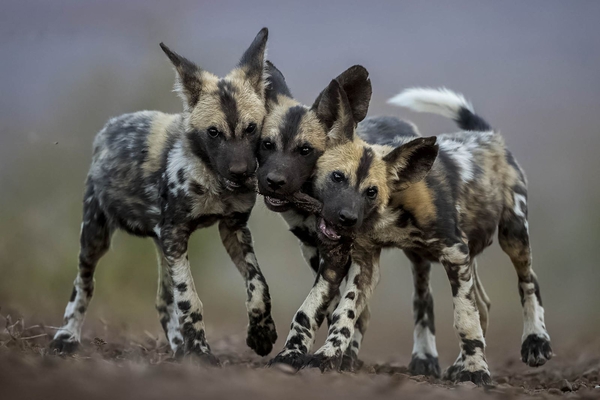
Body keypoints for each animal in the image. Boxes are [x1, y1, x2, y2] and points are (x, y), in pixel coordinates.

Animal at [49, 27, 278, 360]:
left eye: (251, 128)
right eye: (213, 133)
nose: (241, 172)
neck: (214, 182)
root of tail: (108, 128)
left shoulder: (232, 228)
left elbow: (259, 284)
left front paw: (261, 333)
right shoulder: (175, 234)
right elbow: (190, 300)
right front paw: (201, 352)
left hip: (160, 244)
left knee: (163, 301)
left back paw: (179, 347)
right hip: (95, 237)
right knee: (83, 284)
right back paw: (66, 337)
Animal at [256, 62, 418, 372]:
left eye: (305, 150)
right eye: (266, 144)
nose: (273, 182)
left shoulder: (338, 259)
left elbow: (309, 311)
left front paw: (295, 356)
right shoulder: (315, 253)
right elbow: (322, 309)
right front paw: (301, 352)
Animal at [276, 86, 552, 386]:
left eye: (371, 191)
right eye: (337, 177)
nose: (347, 218)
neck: (388, 211)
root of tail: (488, 136)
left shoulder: (455, 253)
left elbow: (465, 319)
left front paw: (476, 372)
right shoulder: (365, 263)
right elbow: (344, 313)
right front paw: (327, 356)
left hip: (513, 234)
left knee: (528, 281)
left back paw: (535, 342)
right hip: (433, 255)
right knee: (481, 303)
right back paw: (457, 365)